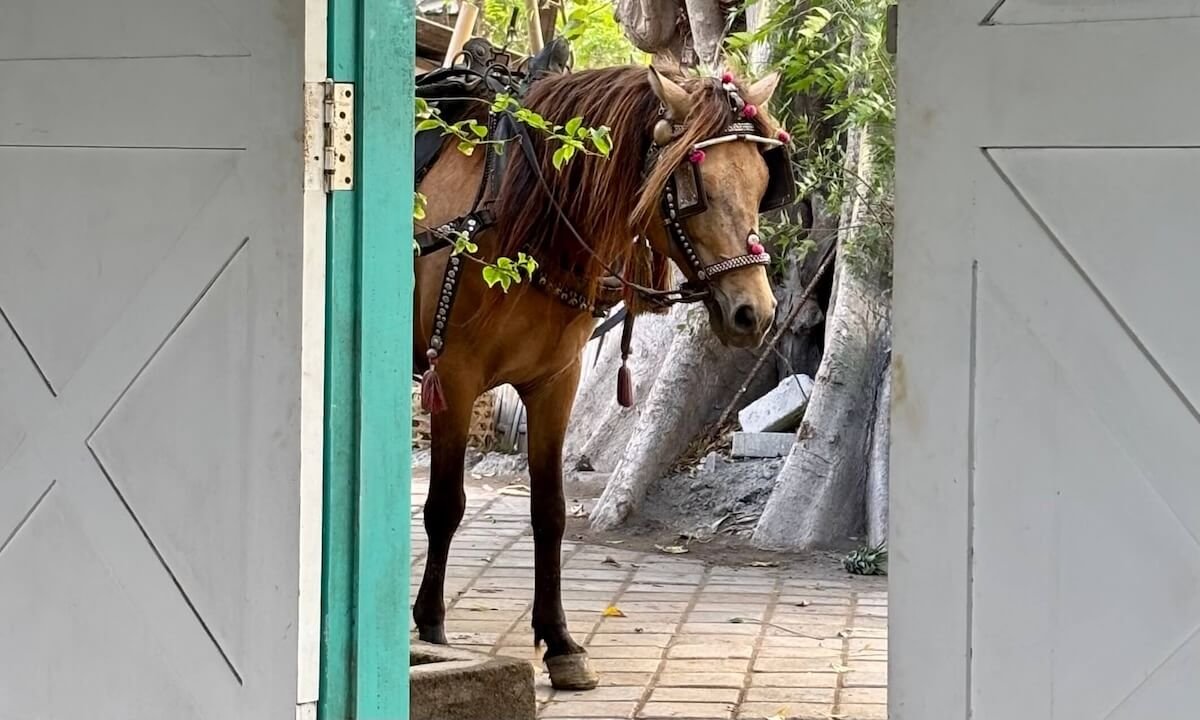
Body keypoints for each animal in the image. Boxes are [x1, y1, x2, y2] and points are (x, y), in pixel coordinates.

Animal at [412, 60, 791, 690]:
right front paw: (431, 625)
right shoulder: (455, 378)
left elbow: (550, 511)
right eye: (693, 189)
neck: (523, 217)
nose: (754, 313)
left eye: (764, 184)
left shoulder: (556, 382)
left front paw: (560, 642)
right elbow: (445, 503)